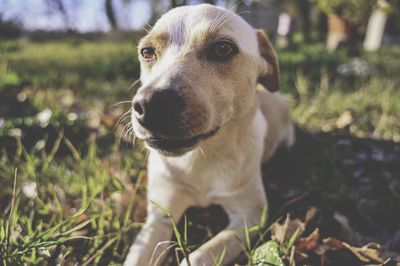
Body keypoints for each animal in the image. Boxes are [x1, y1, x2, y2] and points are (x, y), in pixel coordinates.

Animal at [125, 4, 294, 266]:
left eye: (223, 48)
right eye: (147, 51)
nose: (151, 104)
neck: (200, 158)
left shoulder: (250, 215)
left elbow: (200, 256)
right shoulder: (160, 215)